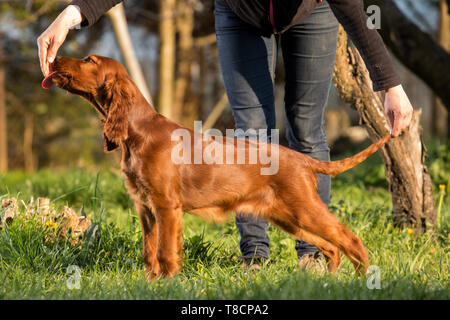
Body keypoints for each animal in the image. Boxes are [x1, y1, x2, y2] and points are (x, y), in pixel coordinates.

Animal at [44, 54, 392, 278]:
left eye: (89, 61)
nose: (54, 58)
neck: (139, 134)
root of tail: (302, 158)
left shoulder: (166, 205)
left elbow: (165, 251)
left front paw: (166, 283)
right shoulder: (145, 208)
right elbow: (149, 251)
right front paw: (151, 283)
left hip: (304, 209)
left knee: (349, 238)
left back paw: (363, 279)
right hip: (287, 216)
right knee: (330, 247)